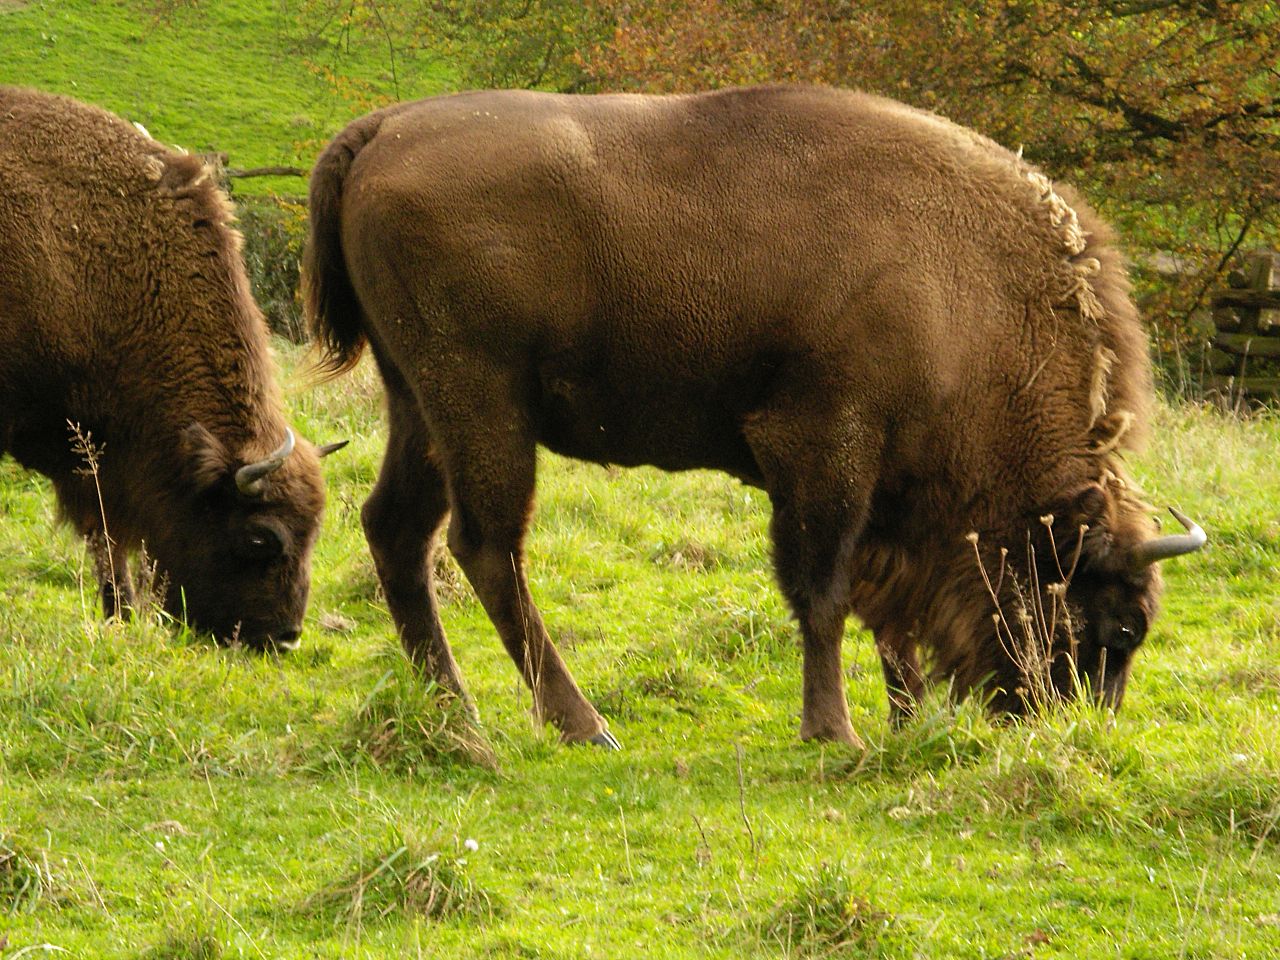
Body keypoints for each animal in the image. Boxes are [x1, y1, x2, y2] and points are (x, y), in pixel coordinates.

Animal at [304, 86, 1203, 747]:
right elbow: (825, 594)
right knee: (486, 548)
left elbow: (885, 616)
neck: (969, 295)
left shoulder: (885, 495)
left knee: (397, 529)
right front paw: (835, 731)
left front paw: (905, 721)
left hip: (418, 405)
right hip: (482, 404)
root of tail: (379, 130)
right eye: (1118, 627)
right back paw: (582, 725)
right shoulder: (823, 450)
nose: (1068, 727)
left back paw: (455, 711)